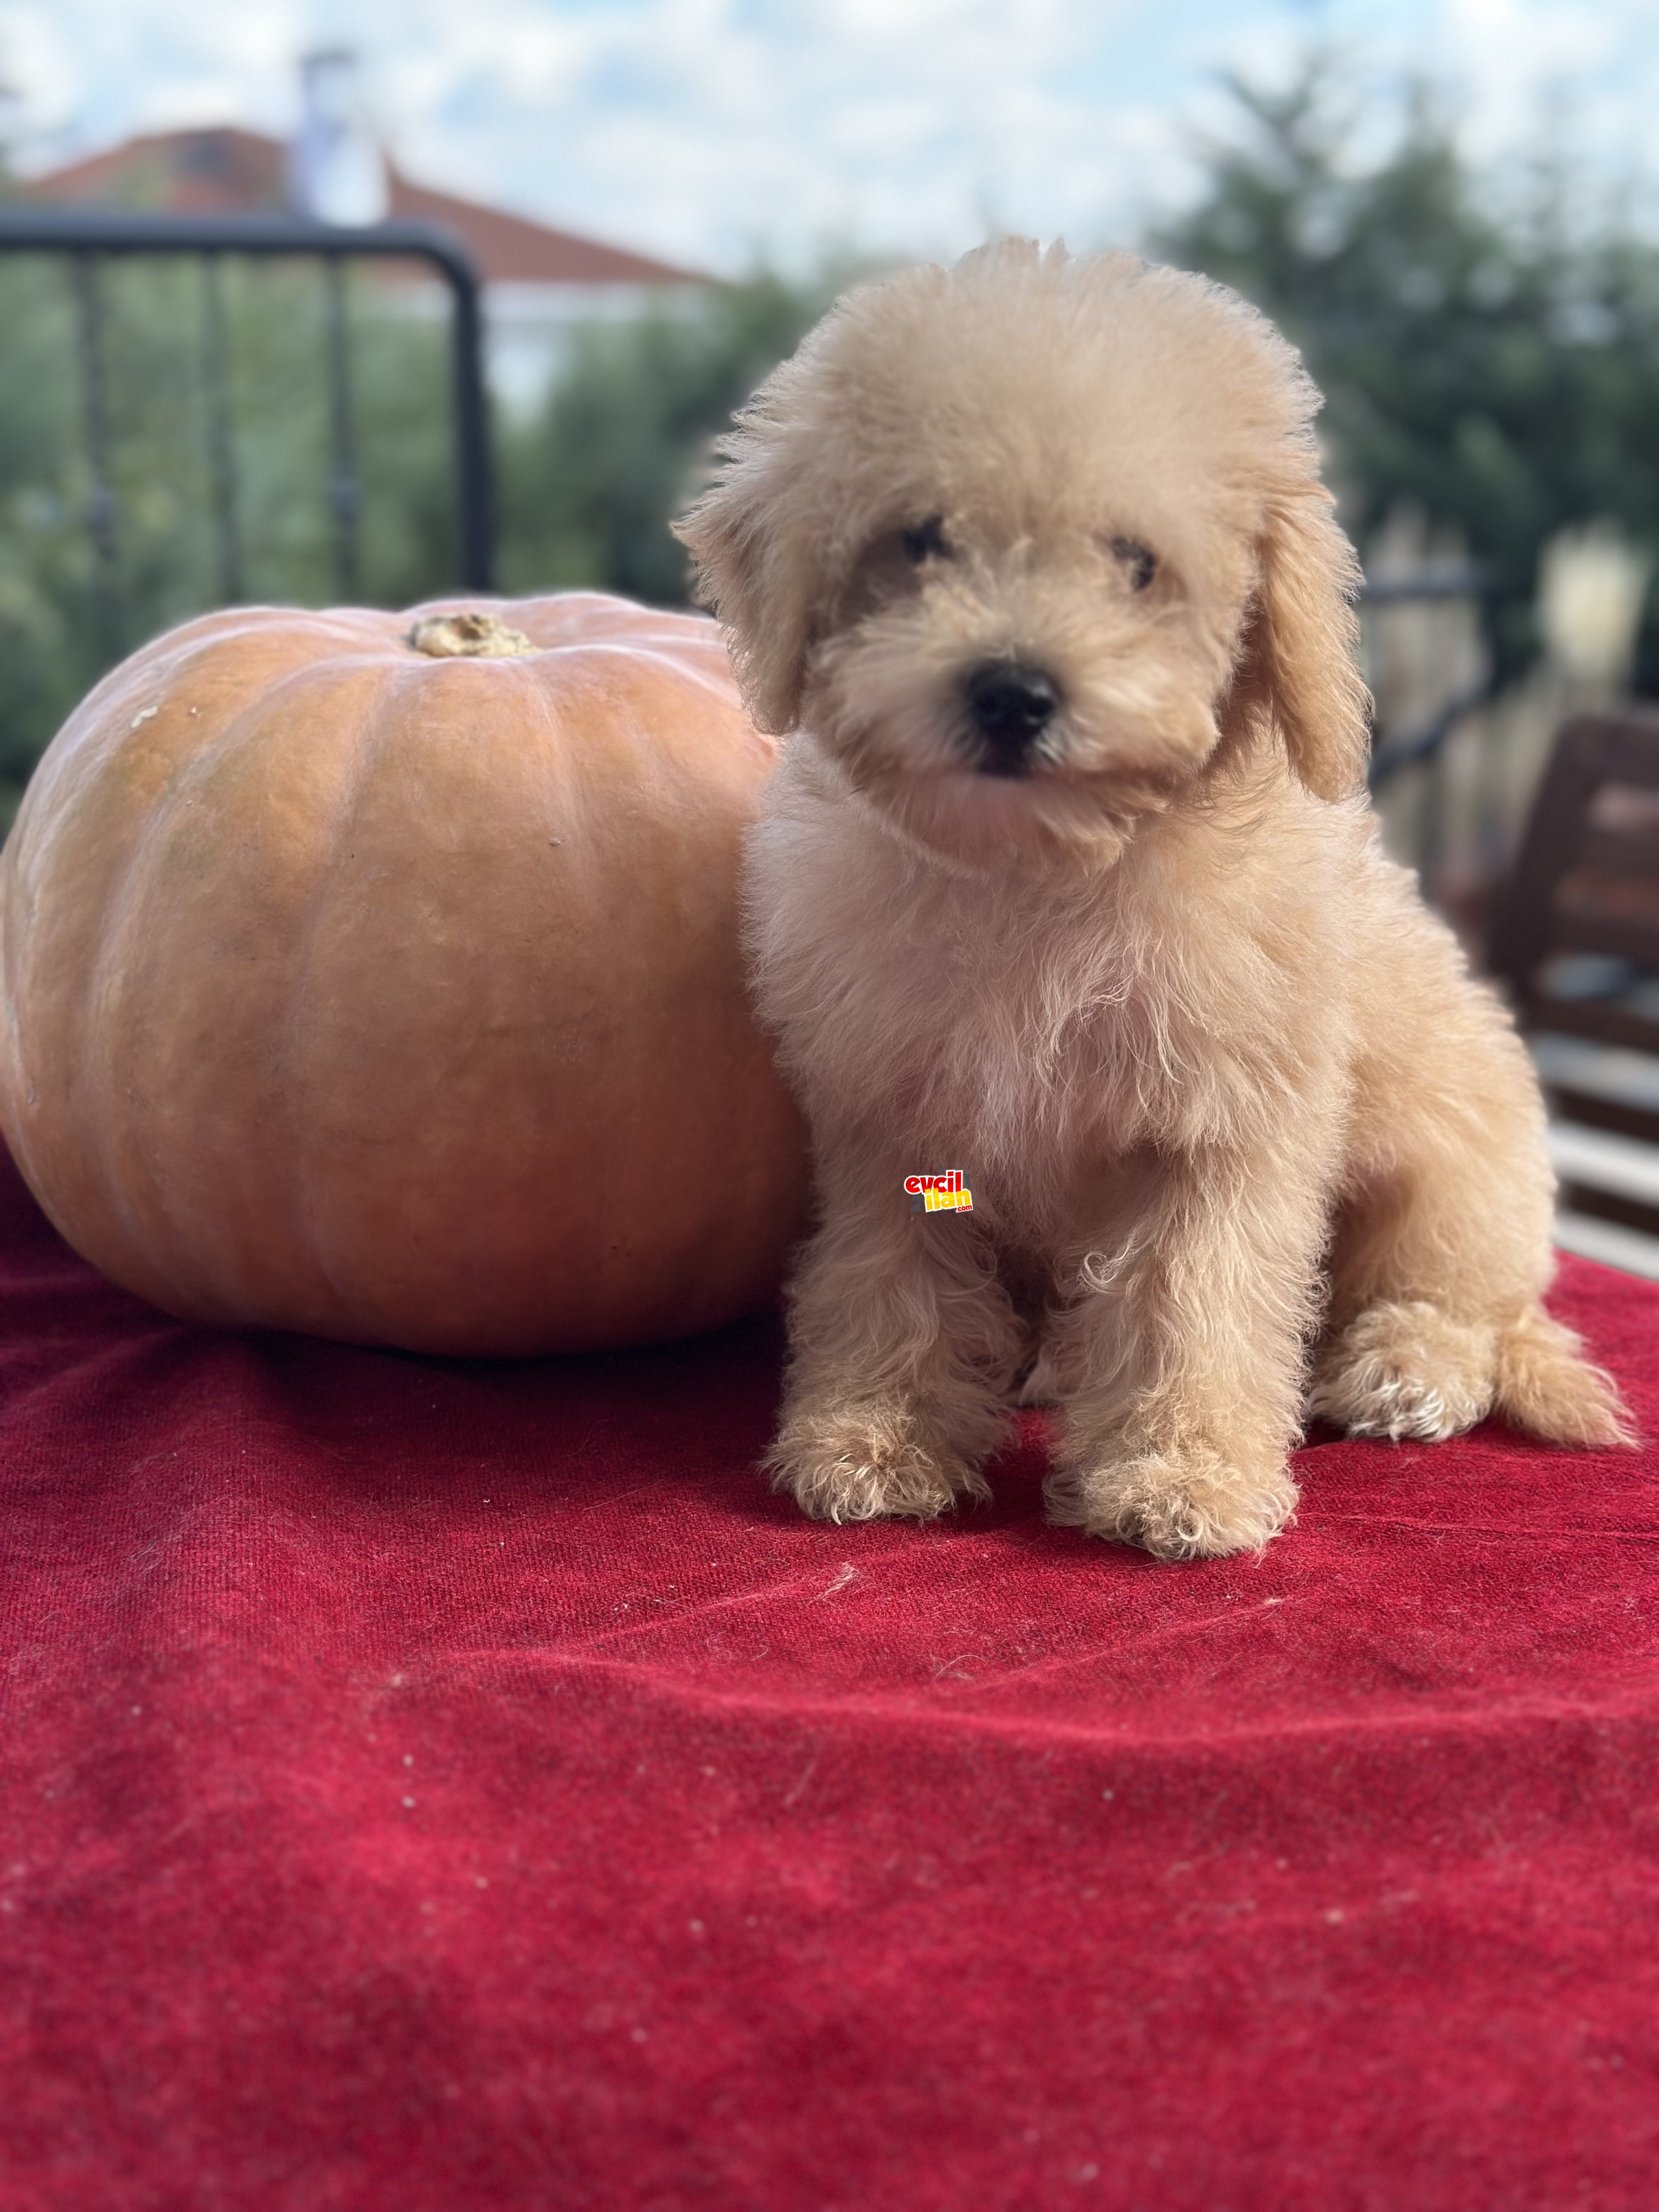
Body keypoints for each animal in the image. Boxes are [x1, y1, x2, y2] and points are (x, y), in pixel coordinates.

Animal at [676, 238, 1637, 1557]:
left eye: (1135, 564)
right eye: (920, 541)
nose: (1012, 690)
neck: (1039, 875)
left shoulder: (1220, 1131)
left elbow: (1196, 1299)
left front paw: (1183, 1478)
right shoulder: (893, 1115)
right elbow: (888, 1276)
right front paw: (873, 1439)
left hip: (1456, 1169)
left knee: (1464, 1306)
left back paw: (1402, 1371)